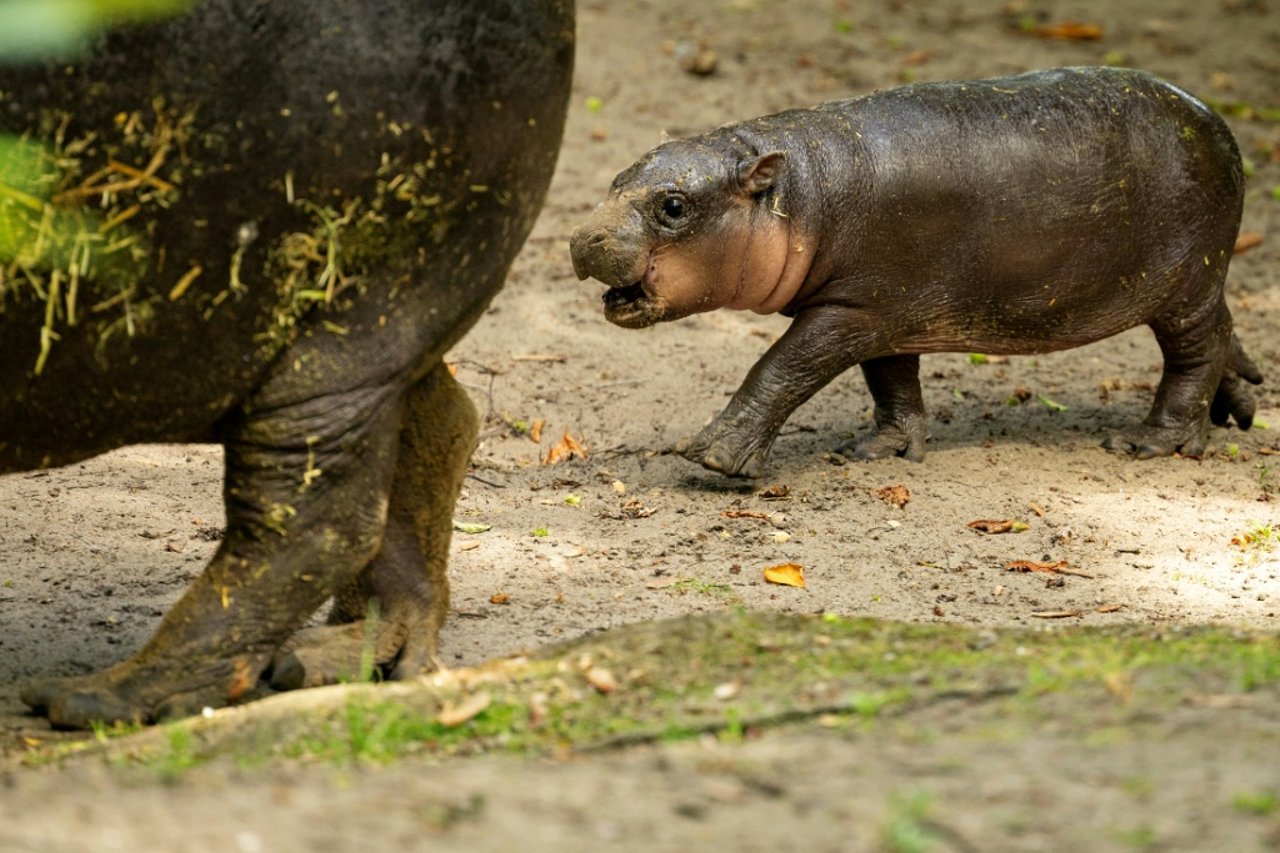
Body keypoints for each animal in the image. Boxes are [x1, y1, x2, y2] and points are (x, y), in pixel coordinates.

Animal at [0, 0, 574, 728]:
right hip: (379, 320)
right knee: (440, 425)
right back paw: (339, 658)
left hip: (342, 321)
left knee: (315, 516)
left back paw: (100, 697)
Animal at [570, 66, 1262, 478]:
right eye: (616, 179)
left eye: (673, 206)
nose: (581, 239)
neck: (798, 191)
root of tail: (1216, 121)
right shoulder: (886, 309)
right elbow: (892, 381)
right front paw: (879, 451)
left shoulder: (850, 310)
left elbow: (780, 369)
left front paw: (711, 457)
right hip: (1198, 281)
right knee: (1226, 331)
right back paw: (1238, 409)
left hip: (1184, 284)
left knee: (1195, 351)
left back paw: (1150, 443)